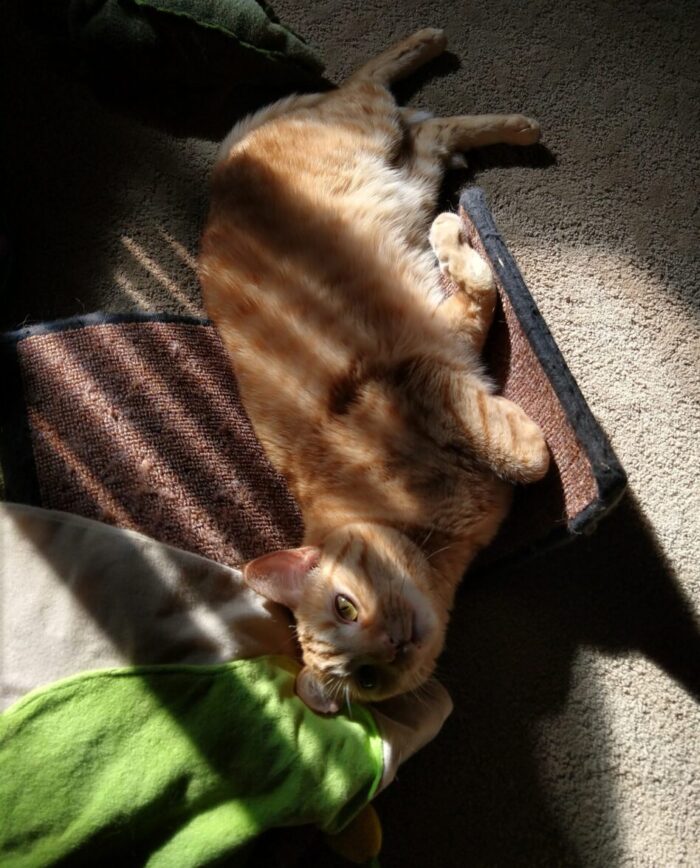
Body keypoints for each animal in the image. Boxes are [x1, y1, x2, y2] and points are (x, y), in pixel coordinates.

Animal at [200, 30, 548, 716]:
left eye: (345, 604)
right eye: (364, 679)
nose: (391, 644)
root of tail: (223, 167)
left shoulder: (419, 372)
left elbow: (524, 452)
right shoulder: (446, 343)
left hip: (367, 129)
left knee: (376, 85)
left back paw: (449, 64)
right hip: (409, 168)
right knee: (433, 128)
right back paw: (507, 126)